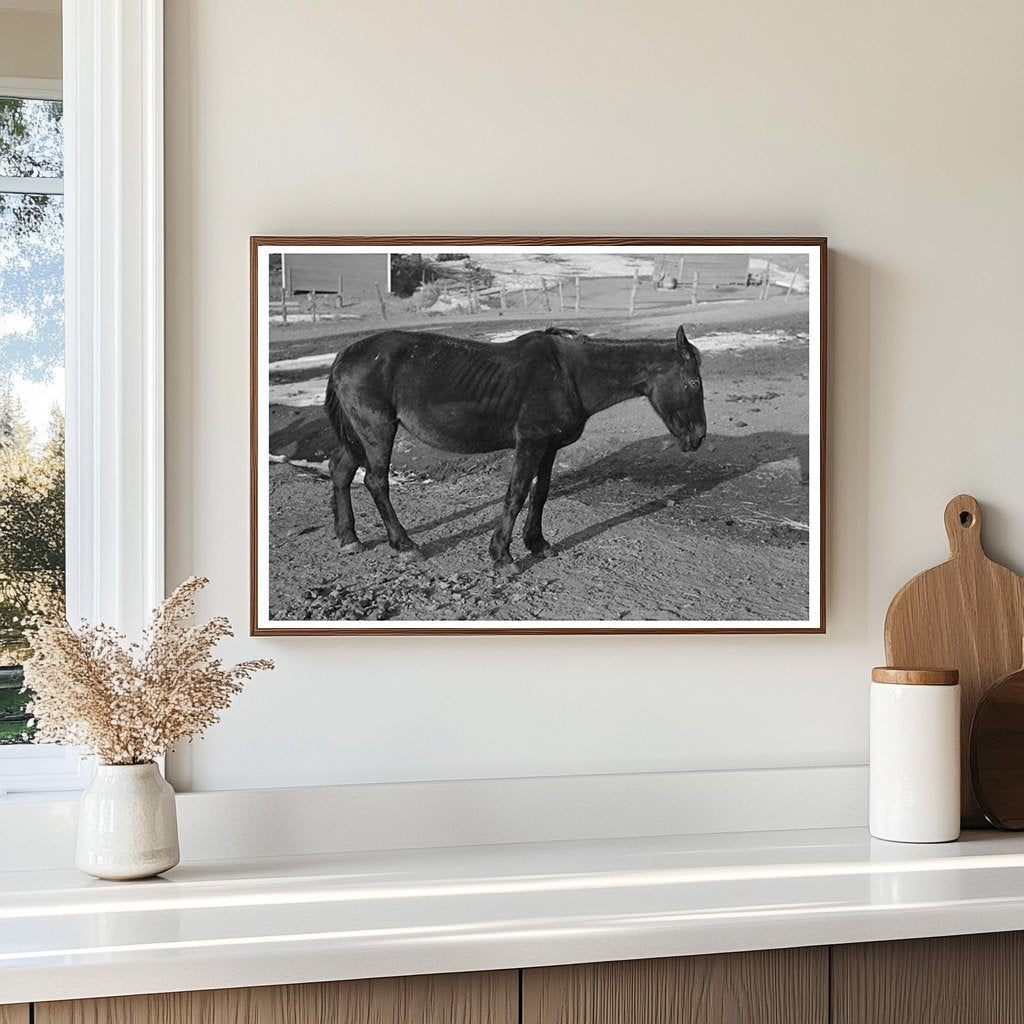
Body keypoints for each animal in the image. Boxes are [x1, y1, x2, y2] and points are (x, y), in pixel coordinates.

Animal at [323, 325, 708, 573]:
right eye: (693, 382)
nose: (699, 437)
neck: (570, 374)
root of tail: (344, 356)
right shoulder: (531, 443)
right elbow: (517, 493)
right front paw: (502, 555)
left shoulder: (549, 447)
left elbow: (540, 492)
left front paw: (536, 543)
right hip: (377, 430)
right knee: (376, 482)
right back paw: (405, 545)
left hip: (358, 435)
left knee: (340, 471)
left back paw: (349, 538)